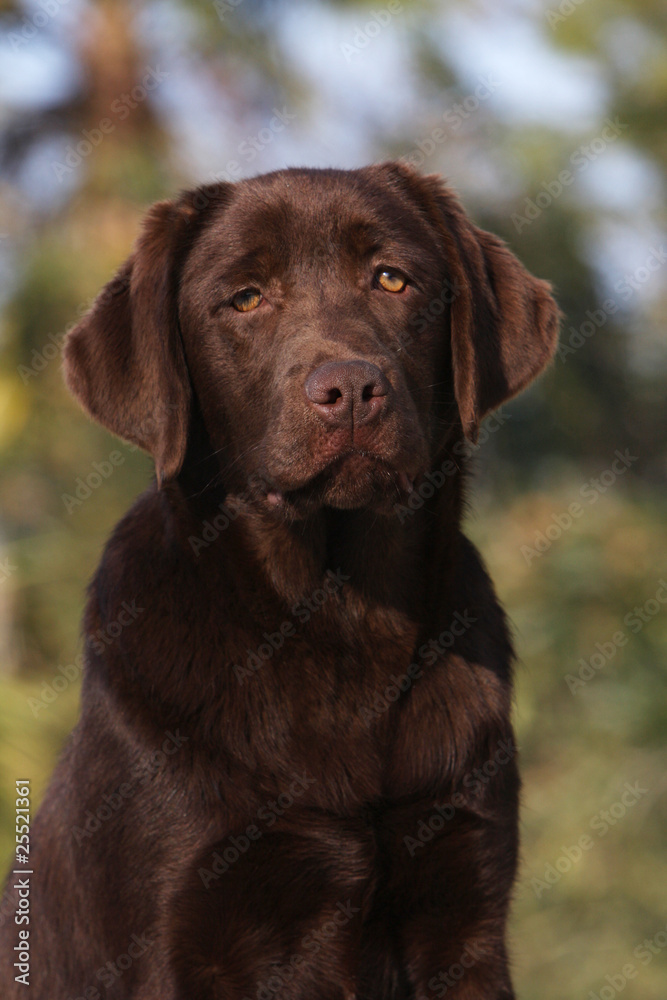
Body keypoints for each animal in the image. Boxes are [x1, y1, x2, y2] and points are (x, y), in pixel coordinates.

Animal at [0, 166, 560, 1000]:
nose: (350, 389)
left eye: (391, 278)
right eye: (246, 298)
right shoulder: (181, 935)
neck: (341, 624)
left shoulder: (464, 916)